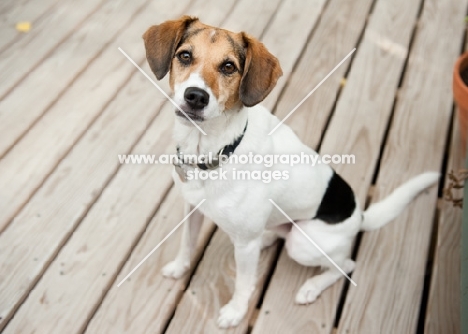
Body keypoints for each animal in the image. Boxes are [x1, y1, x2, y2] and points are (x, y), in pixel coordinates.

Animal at [142, 16, 438, 328]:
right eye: (185, 56)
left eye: (228, 67)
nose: (196, 96)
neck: (214, 151)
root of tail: (359, 215)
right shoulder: (193, 210)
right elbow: (186, 244)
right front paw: (179, 267)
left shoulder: (245, 244)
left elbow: (244, 284)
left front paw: (236, 312)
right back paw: (269, 238)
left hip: (303, 244)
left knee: (346, 264)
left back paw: (311, 287)